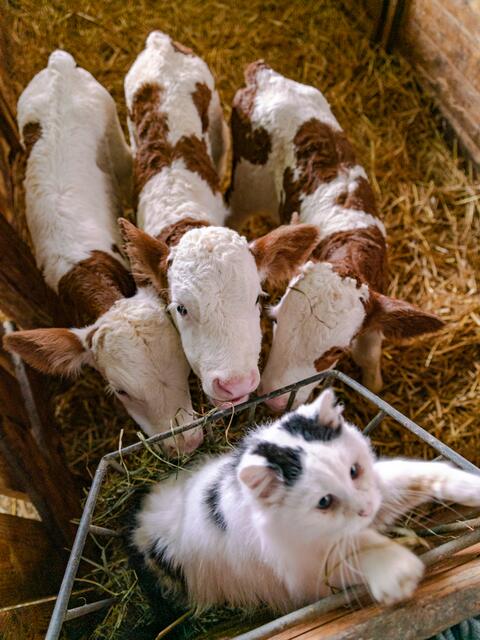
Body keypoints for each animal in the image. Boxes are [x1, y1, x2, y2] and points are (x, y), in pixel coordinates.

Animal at [119, 32, 318, 408]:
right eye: (181, 308)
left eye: (257, 299)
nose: (236, 385)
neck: (182, 211)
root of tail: (160, 41)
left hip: (216, 121)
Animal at [128, 388, 480, 612]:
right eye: (323, 502)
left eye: (354, 471)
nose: (366, 510)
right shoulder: (308, 574)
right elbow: (361, 550)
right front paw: (400, 574)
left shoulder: (382, 492)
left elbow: (420, 475)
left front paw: (471, 488)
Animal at [229, 61, 442, 410]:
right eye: (275, 321)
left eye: (335, 352)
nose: (275, 402)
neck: (349, 243)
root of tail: (263, 73)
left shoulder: (376, 303)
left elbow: (370, 352)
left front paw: (374, 384)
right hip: (246, 183)